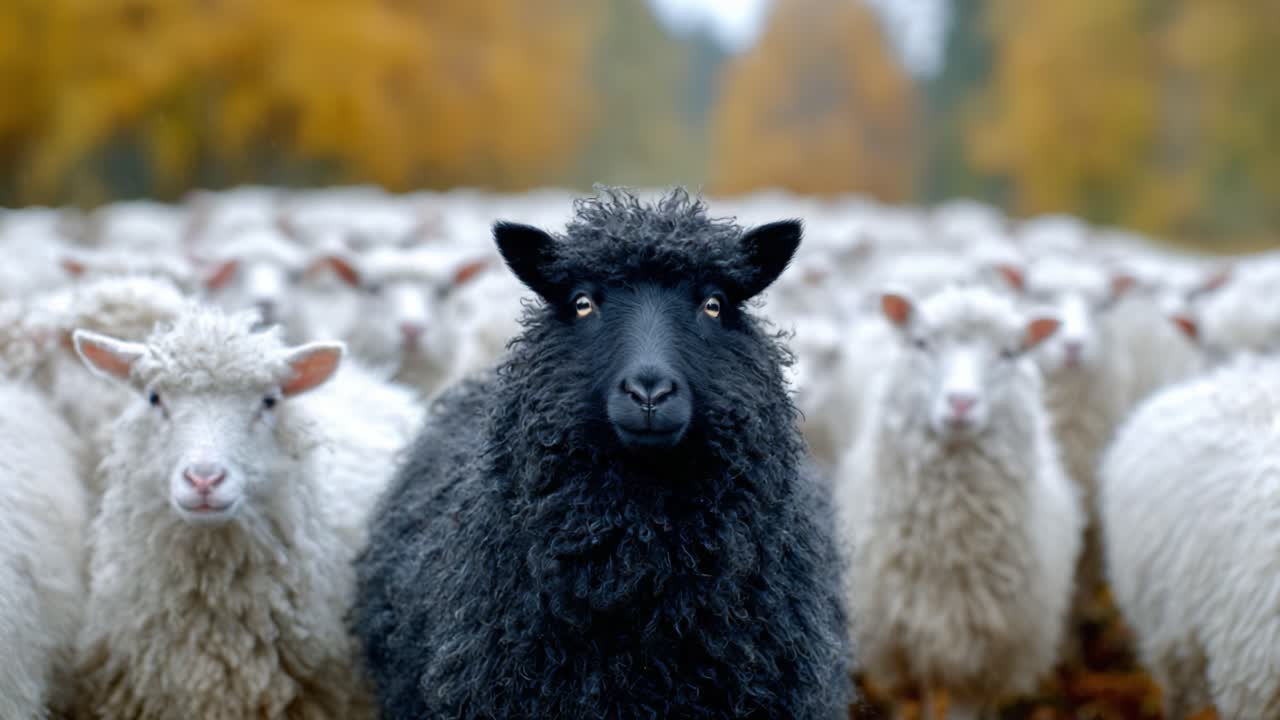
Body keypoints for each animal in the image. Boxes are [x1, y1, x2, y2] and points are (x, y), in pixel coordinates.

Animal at [837, 285, 1082, 720]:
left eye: (1009, 353)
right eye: (922, 342)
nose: (961, 403)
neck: (950, 542)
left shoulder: (979, 658)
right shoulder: (903, 645)